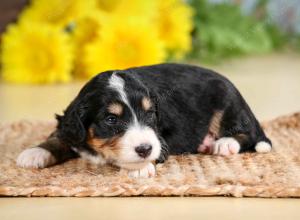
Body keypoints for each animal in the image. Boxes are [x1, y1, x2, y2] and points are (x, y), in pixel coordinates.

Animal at [17, 63, 274, 177]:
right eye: (111, 119)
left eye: (150, 114)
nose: (144, 149)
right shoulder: (72, 127)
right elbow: (59, 136)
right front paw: (35, 152)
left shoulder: (161, 140)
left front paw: (140, 167)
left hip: (227, 102)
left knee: (251, 133)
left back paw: (224, 143)